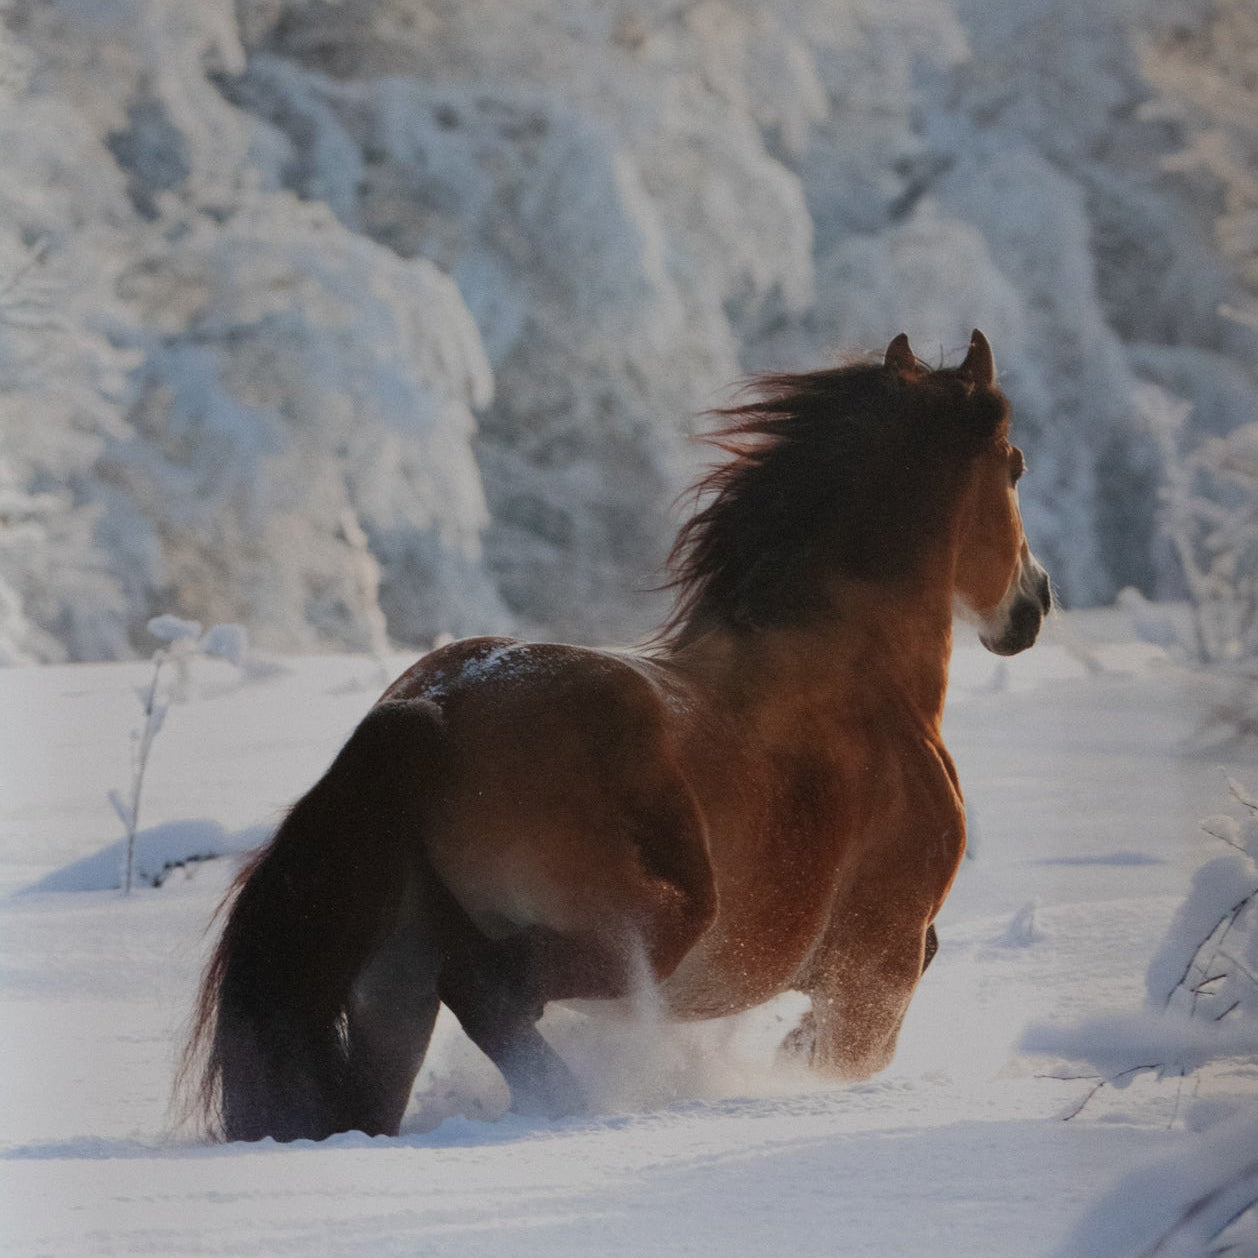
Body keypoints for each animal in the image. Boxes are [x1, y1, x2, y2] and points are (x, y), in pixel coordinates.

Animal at [183, 329, 1051, 1142]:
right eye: (1014, 466)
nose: (1035, 603)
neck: (863, 675)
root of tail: (430, 711)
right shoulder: (879, 963)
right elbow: (848, 1054)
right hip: (647, 928)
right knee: (486, 991)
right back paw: (576, 1106)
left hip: (392, 986)